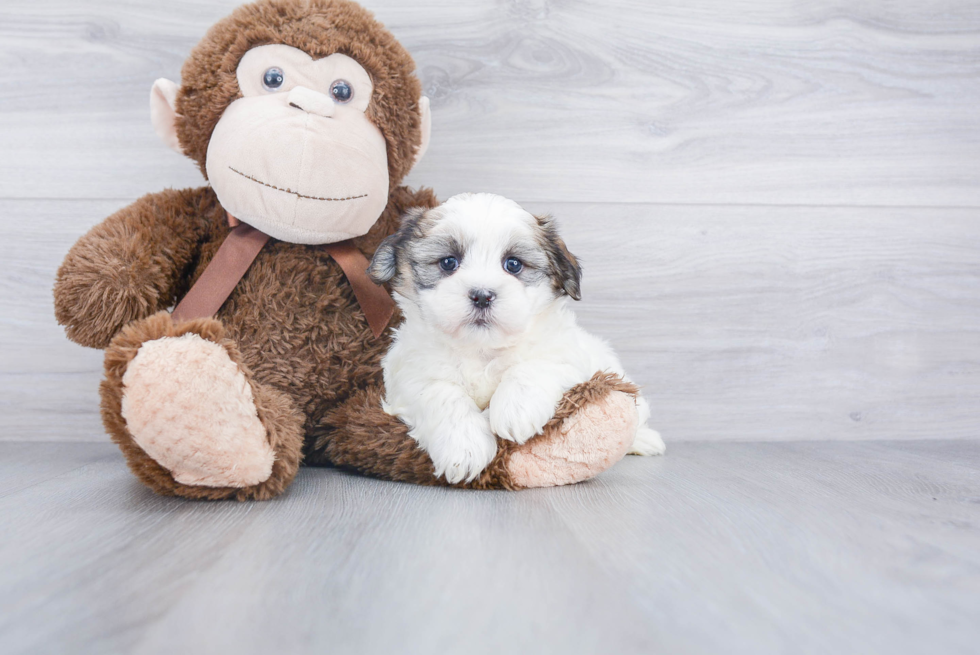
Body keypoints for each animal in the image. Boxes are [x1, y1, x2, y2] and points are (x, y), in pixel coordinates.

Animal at [368, 192, 668, 484]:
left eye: (513, 264)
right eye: (448, 262)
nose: (482, 295)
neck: (481, 348)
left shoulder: (569, 357)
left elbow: (533, 367)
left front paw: (515, 409)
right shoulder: (409, 376)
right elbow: (441, 394)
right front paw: (464, 447)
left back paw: (644, 440)